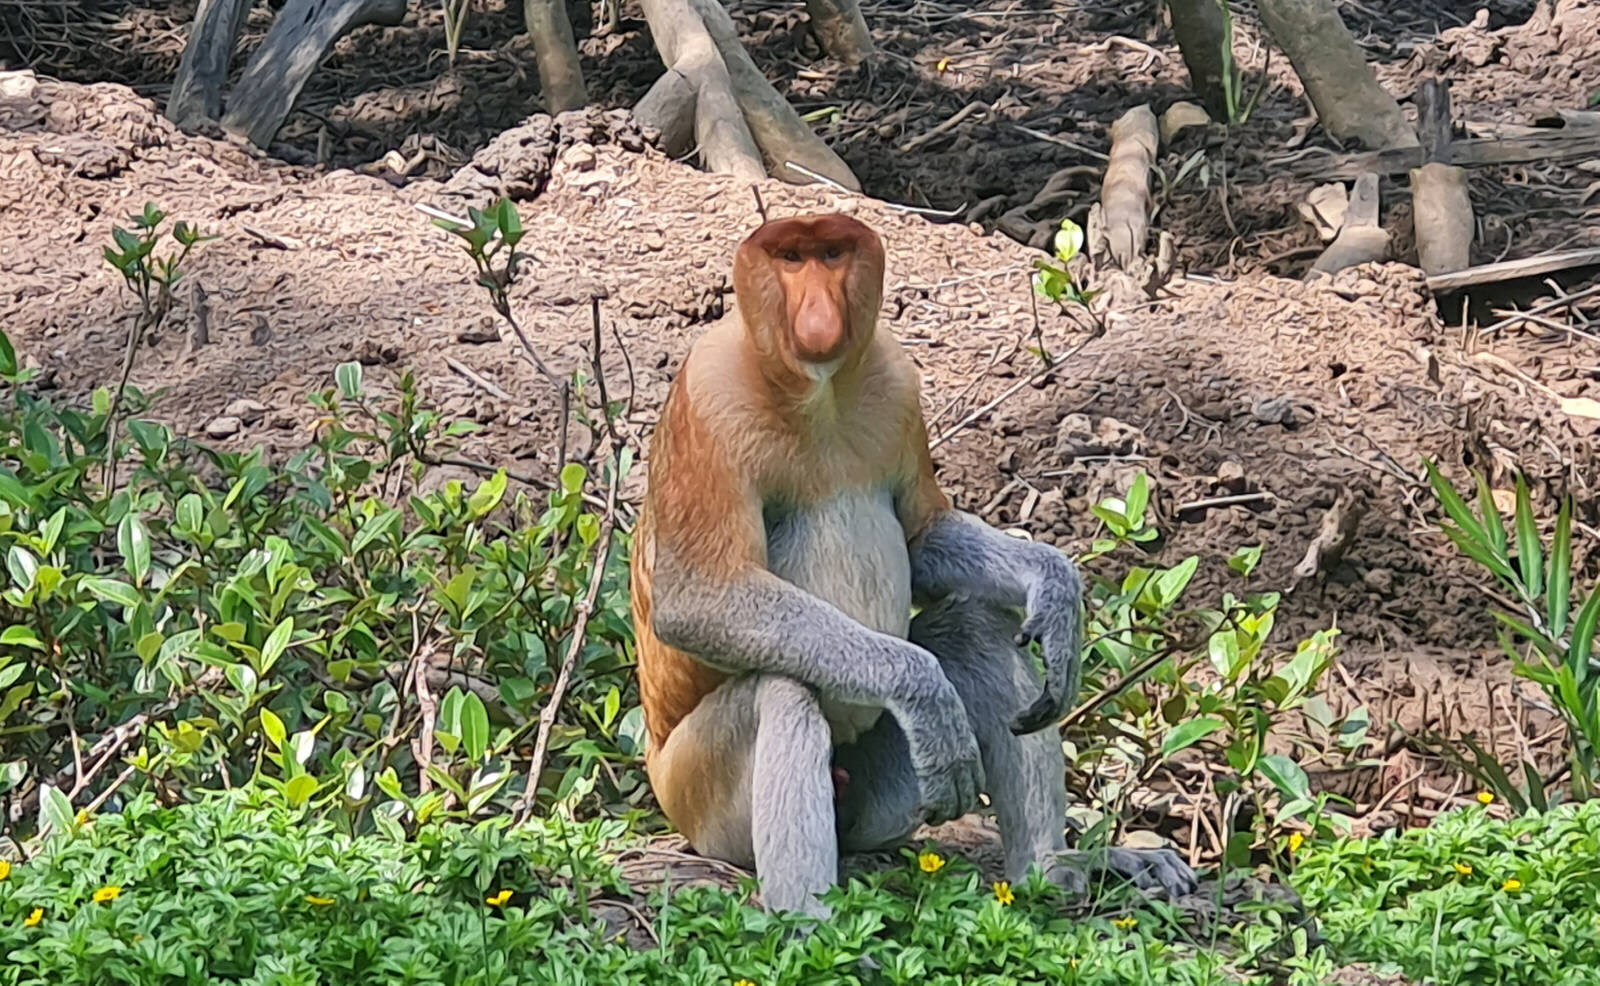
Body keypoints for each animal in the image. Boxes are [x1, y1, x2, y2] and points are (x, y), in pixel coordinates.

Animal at [630, 211, 1196, 915]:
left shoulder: (896, 382)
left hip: (880, 792)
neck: (818, 398)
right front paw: (920, 686)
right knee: (783, 691)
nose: (818, 312)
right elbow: (696, 595)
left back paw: (1054, 869)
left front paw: (1057, 590)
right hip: (699, 795)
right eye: (790, 259)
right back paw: (807, 920)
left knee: (974, 631)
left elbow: (924, 539)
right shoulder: (709, 398)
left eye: (832, 254)